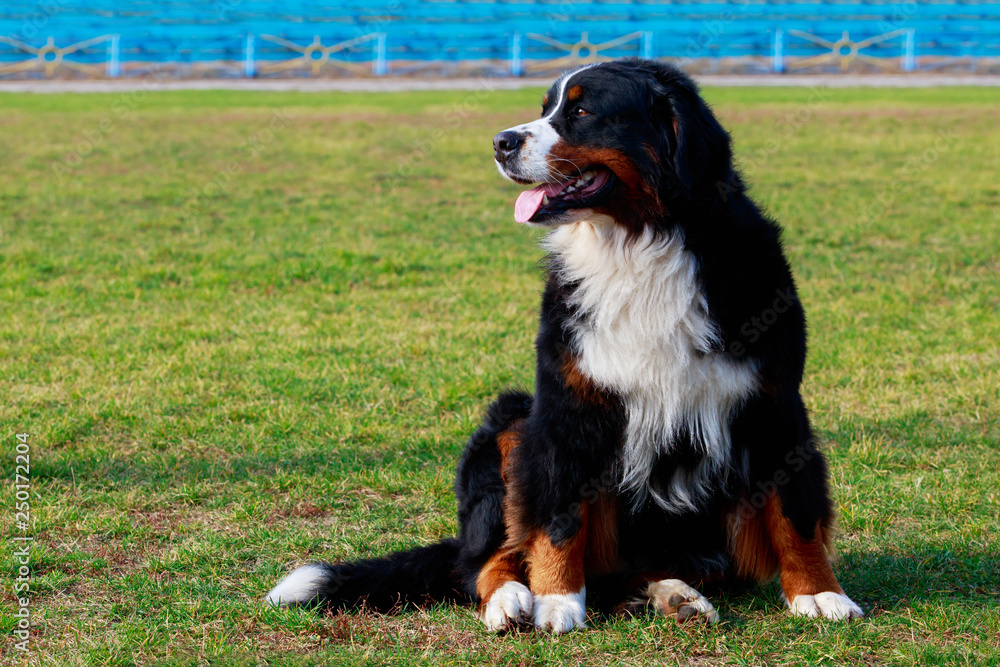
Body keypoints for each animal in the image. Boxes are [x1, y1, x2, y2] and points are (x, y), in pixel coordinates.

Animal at [266, 57, 860, 632]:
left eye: (581, 112)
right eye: (546, 108)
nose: (501, 141)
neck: (639, 245)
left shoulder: (773, 404)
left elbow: (796, 514)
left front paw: (819, 593)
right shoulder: (566, 408)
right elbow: (557, 520)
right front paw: (556, 602)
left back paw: (672, 595)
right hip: (510, 426)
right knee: (485, 559)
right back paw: (510, 599)